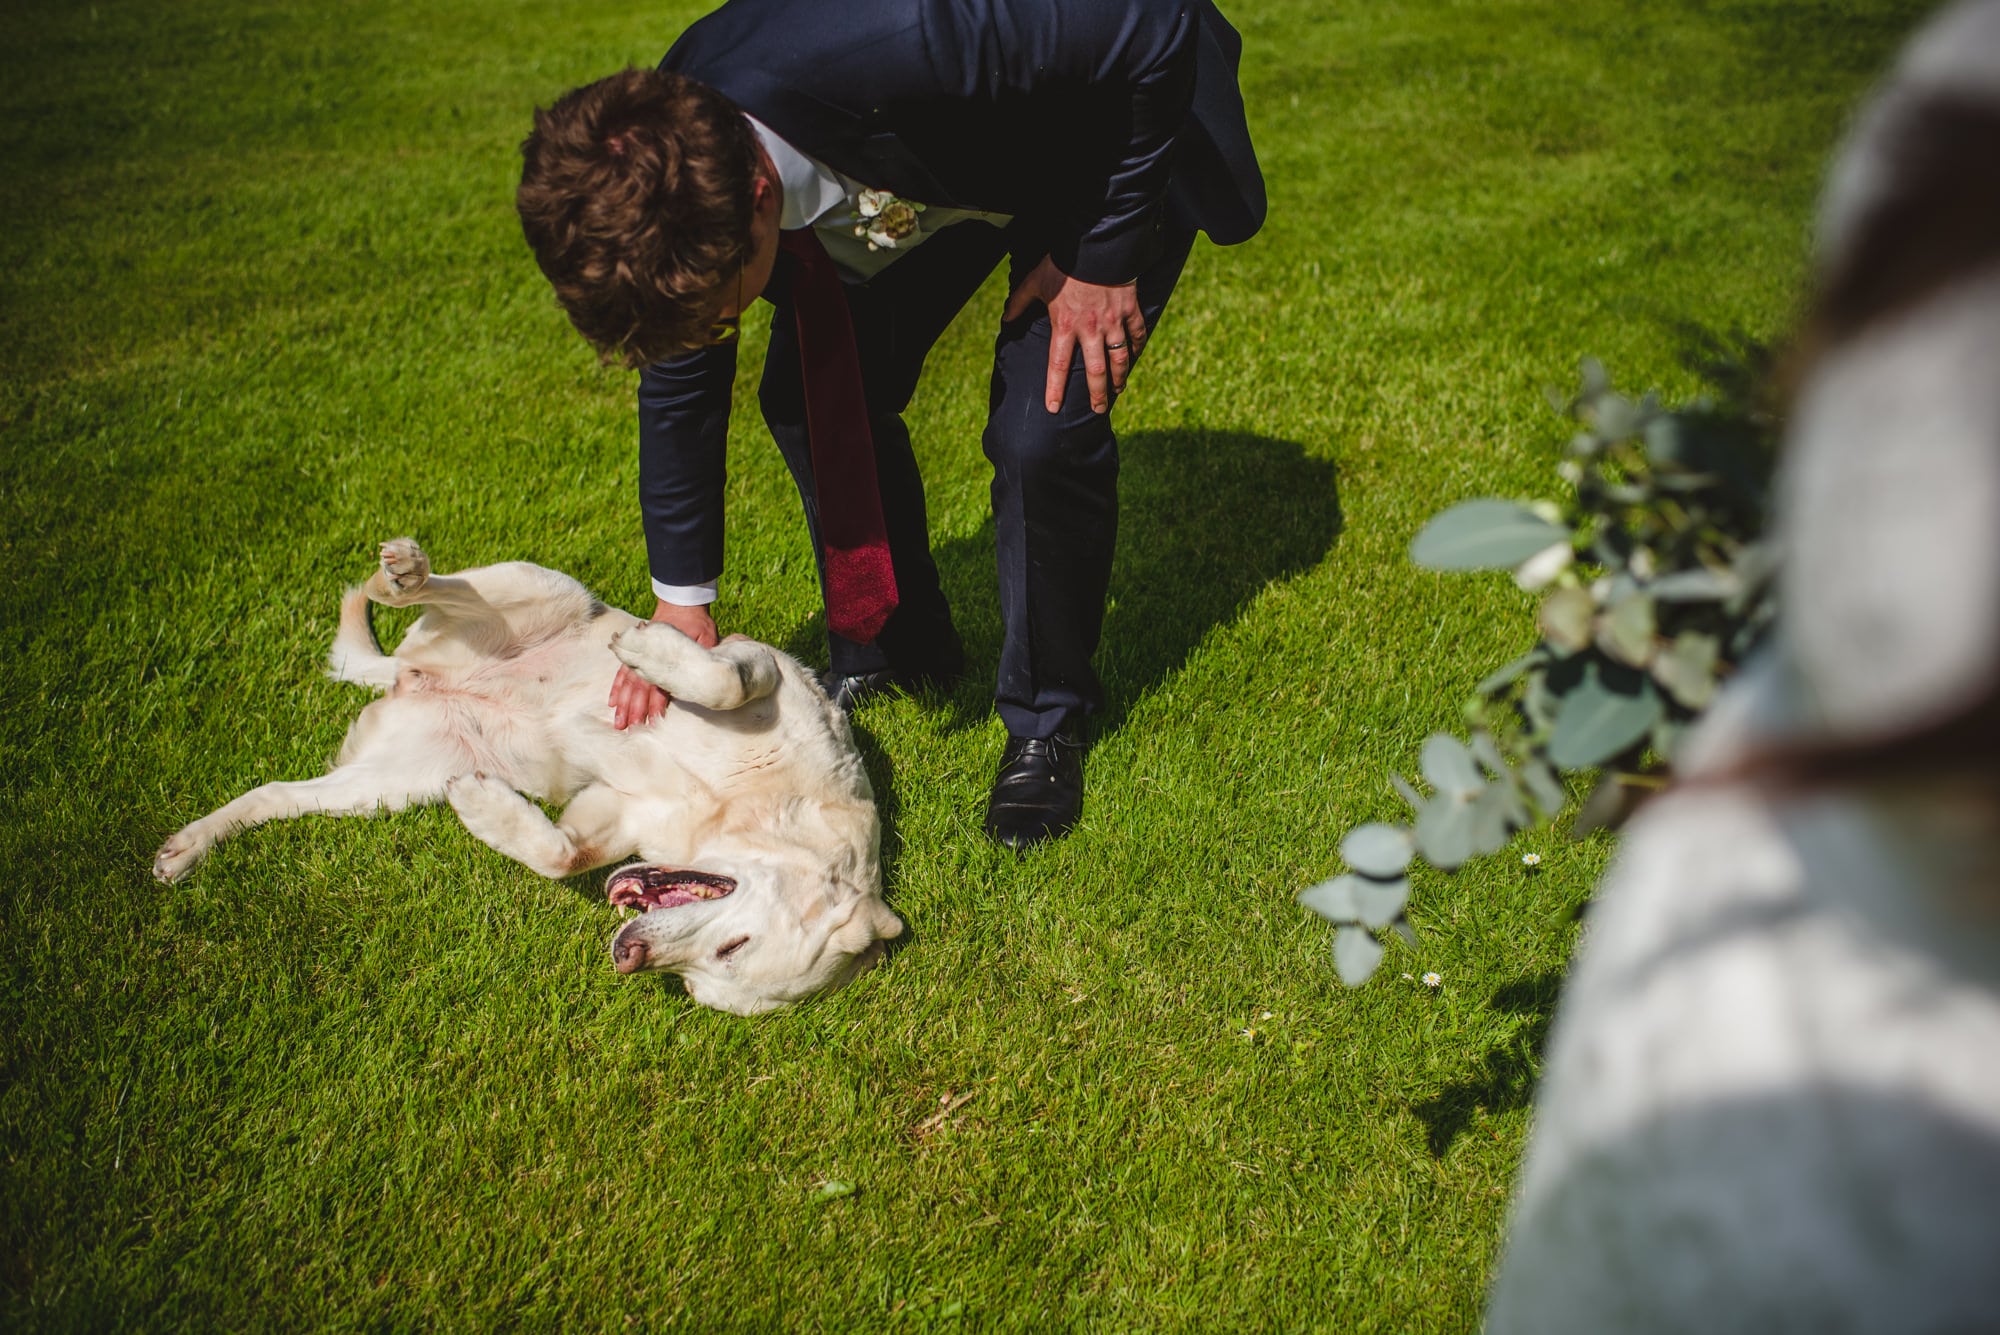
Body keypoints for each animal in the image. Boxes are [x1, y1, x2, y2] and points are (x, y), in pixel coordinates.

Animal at [152, 535, 904, 1015]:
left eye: (700, 985)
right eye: (731, 946)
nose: (628, 955)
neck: (745, 807)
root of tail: (407, 673)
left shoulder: (612, 811)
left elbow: (560, 853)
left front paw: (485, 808)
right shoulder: (764, 664)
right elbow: (724, 678)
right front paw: (651, 650)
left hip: (383, 788)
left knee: (274, 794)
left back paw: (187, 847)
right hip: (545, 587)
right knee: (436, 587)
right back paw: (404, 571)